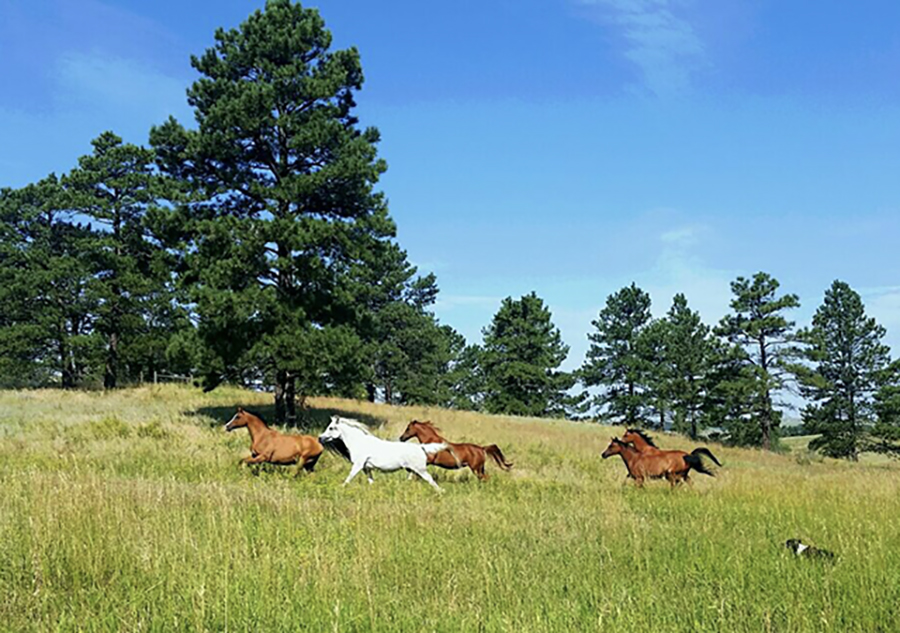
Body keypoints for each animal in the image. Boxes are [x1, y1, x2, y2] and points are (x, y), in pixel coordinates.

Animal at [318, 418, 448, 492]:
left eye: (331, 428)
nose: (320, 438)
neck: (359, 442)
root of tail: (421, 447)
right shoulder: (366, 468)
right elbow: (371, 481)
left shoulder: (358, 465)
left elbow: (349, 477)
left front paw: (340, 487)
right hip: (412, 469)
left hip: (420, 469)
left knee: (430, 480)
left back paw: (441, 491)